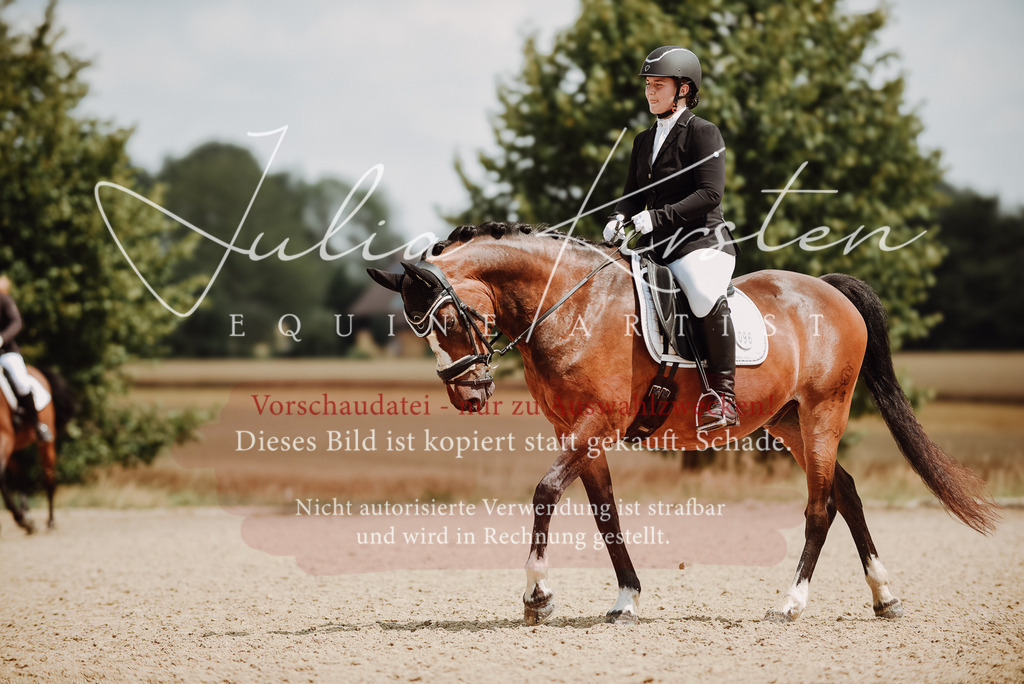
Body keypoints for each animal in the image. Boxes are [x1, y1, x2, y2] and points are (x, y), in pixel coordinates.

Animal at [0, 365, 73, 534]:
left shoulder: (5, 437)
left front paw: (19, 518)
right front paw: (22, 518)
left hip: (44, 443)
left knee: (49, 478)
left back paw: (49, 522)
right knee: (22, 473)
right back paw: (27, 518)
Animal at [368, 221, 998, 625]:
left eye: (449, 319)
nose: (467, 395)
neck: (572, 306)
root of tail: (828, 289)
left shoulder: (596, 423)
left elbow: (545, 491)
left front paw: (538, 596)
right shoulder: (576, 432)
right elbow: (606, 515)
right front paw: (626, 600)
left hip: (824, 411)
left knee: (821, 506)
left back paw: (791, 603)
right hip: (790, 422)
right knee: (845, 491)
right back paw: (884, 597)